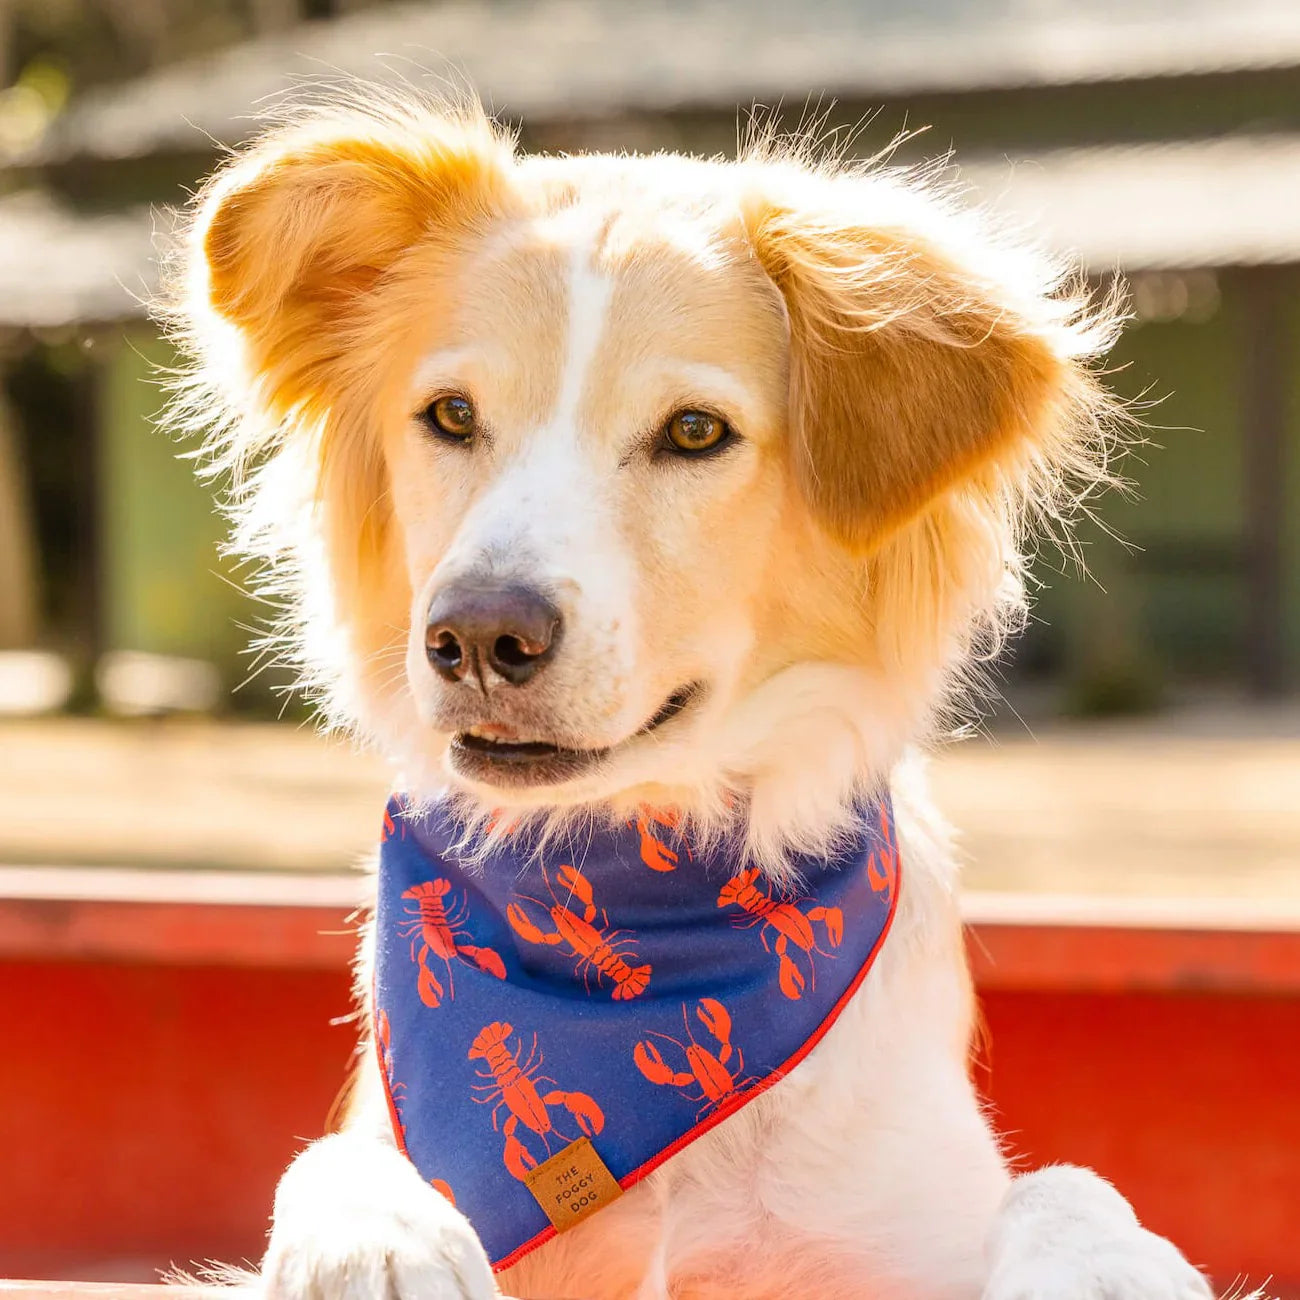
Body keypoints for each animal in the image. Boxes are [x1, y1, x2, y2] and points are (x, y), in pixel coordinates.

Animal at [170, 94, 1216, 1300]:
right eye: (451, 416)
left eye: (694, 432)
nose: (475, 635)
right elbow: (331, 1159)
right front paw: (378, 1244)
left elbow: (1065, 1183)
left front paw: (1114, 1266)